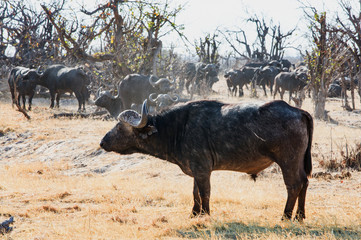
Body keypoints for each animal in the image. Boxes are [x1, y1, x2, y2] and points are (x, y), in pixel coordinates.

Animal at [100, 98, 312, 220]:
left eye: (120, 127)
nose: (102, 142)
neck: (178, 128)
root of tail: (297, 111)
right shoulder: (197, 170)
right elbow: (195, 192)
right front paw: (195, 213)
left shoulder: (203, 170)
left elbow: (205, 193)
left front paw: (206, 214)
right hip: (298, 163)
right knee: (304, 182)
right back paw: (300, 216)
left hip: (288, 161)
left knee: (293, 185)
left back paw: (286, 216)